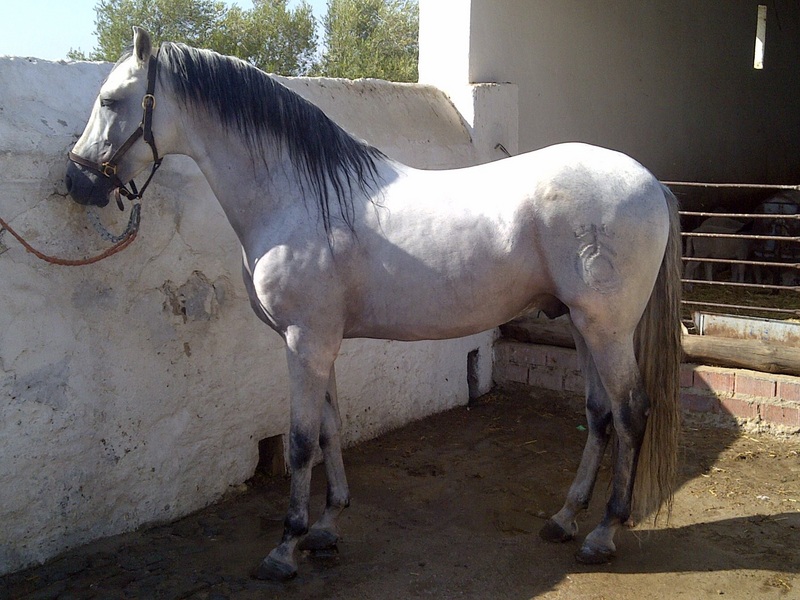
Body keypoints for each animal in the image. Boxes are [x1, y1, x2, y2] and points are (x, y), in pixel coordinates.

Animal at [64, 28, 682, 581]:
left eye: (110, 101)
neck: (297, 196)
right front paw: (326, 527)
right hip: (581, 324)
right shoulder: (319, 343)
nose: (77, 180)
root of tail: (651, 183)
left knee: (630, 412)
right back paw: (564, 518)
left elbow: (299, 443)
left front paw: (285, 547)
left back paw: (603, 534)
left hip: (607, 328)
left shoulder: (305, 342)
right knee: (599, 414)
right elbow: (329, 430)